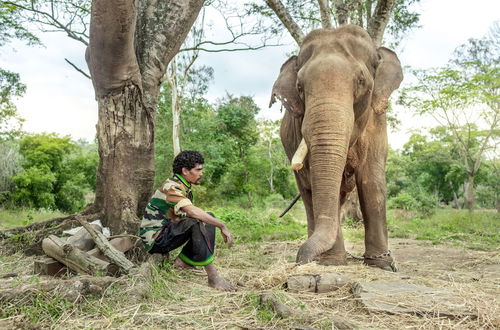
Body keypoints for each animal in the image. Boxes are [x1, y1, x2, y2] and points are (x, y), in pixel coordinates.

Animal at [270, 23, 402, 270]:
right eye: (300, 87)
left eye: (361, 81)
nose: (299, 261)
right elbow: (316, 180)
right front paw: (333, 262)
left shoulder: (377, 121)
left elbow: (371, 180)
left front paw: (384, 265)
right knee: (307, 193)